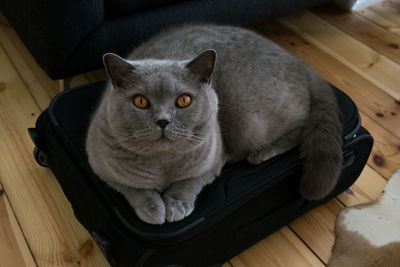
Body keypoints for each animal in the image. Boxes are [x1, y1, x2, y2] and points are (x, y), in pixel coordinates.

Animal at [86, 25, 342, 226]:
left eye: (184, 100)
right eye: (140, 101)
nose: (163, 120)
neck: (163, 166)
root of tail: (299, 61)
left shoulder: (213, 162)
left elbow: (189, 183)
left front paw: (176, 206)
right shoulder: (101, 167)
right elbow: (135, 189)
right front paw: (154, 210)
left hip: (251, 120)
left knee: (301, 125)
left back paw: (260, 153)